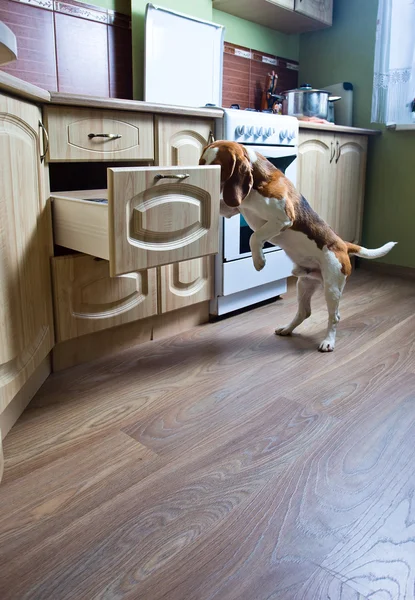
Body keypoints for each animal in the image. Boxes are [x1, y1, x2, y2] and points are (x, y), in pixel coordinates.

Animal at [200, 142, 398, 352]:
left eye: (219, 166)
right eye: (202, 162)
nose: (205, 176)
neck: (257, 184)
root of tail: (342, 244)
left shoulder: (284, 218)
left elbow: (255, 236)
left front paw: (259, 260)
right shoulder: (231, 209)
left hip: (332, 287)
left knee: (334, 317)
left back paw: (328, 341)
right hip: (304, 284)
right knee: (304, 312)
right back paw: (287, 329)